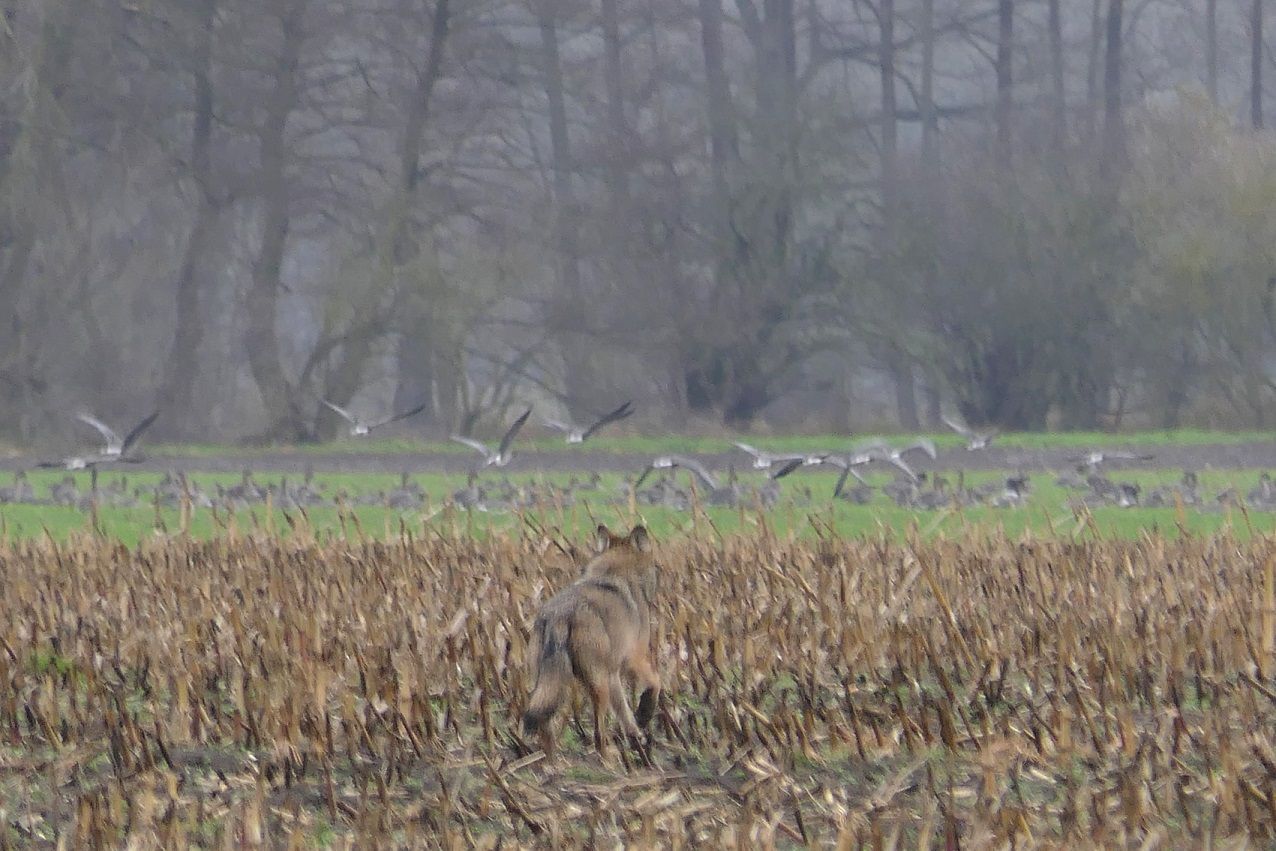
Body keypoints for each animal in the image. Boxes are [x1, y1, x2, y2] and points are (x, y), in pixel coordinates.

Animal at [522, 524, 662, 757]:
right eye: (655, 565)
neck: (616, 572)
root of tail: (560, 615)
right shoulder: (634, 658)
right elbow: (656, 682)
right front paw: (645, 713)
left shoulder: (614, 673)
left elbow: (624, 712)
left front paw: (636, 736)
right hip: (598, 685)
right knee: (598, 734)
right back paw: (608, 756)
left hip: (546, 686)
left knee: (545, 730)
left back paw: (552, 762)